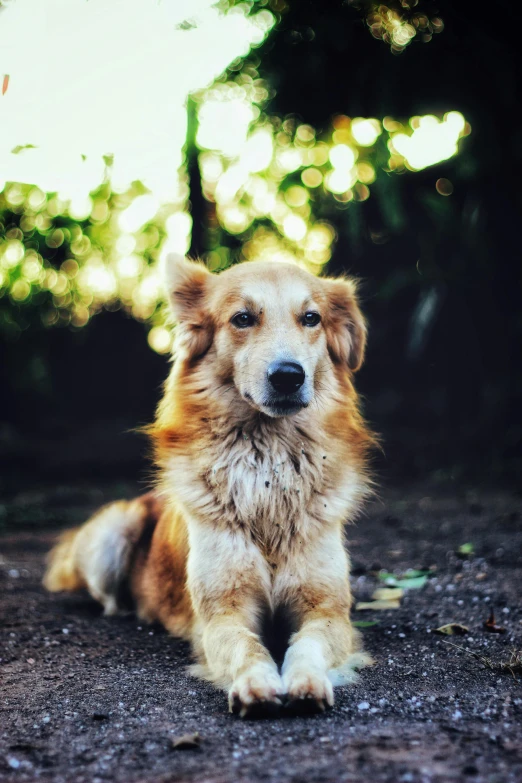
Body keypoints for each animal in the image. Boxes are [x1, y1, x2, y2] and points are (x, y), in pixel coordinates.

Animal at [43, 256, 374, 716]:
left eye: (311, 318)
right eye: (242, 318)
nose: (289, 376)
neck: (267, 472)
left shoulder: (327, 610)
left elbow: (307, 645)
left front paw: (306, 681)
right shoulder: (223, 613)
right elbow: (246, 647)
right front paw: (256, 683)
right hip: (115, 530)